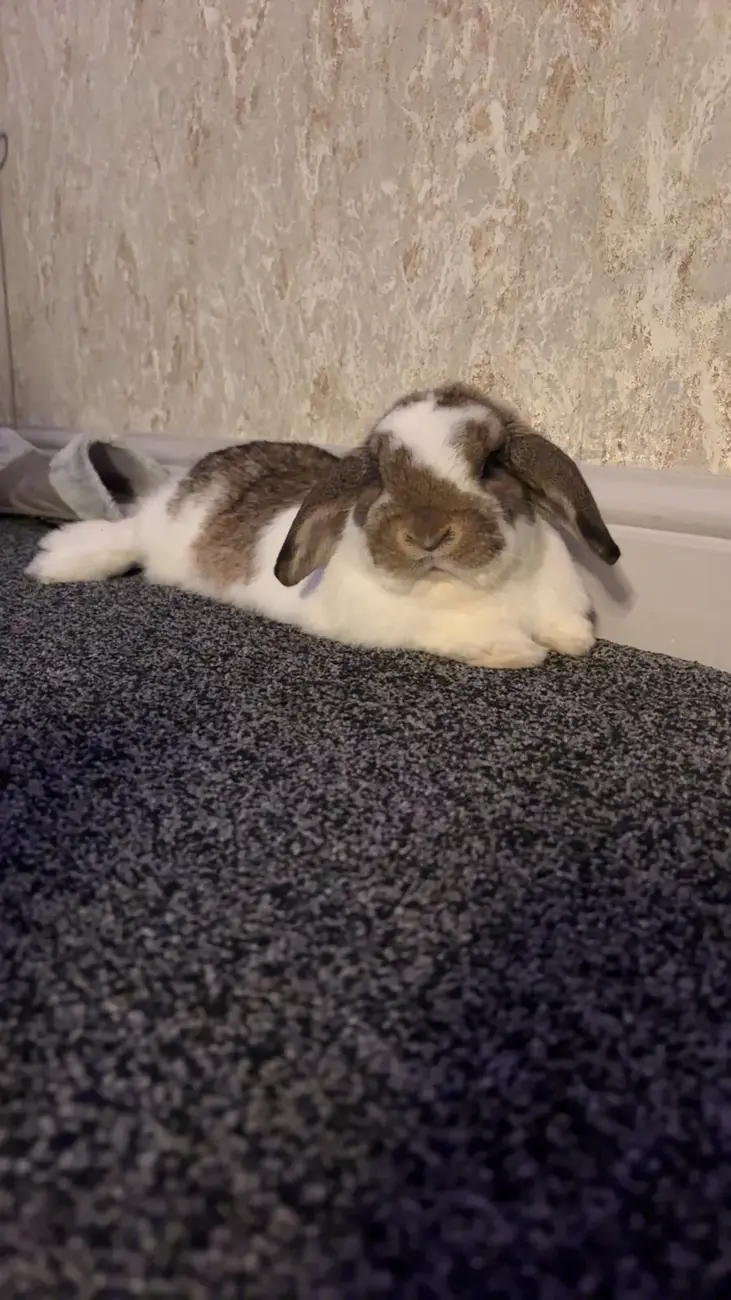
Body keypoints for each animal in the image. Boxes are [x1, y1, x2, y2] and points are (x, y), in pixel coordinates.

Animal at [26, 382, 620, 670]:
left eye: (492, 464)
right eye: (379, 475)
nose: (427, 536)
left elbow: (565, 630)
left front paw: (572, 640)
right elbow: (466, 633)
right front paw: (516, 652)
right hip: (162, 533)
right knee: (127, 537)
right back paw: (56, 561)